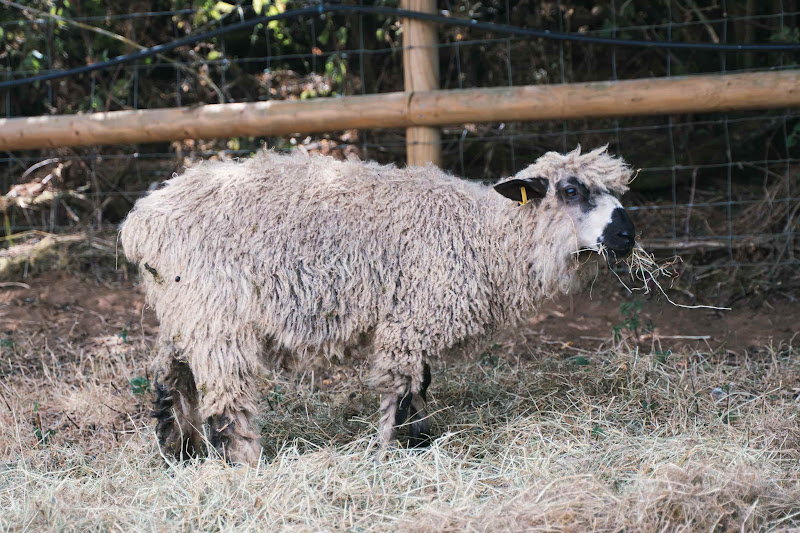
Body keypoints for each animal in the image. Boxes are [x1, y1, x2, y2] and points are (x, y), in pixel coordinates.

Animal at [120, 145, 635, 465]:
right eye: (571, 190)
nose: (627, 236)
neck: (483, 234)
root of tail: (140, 222)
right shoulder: (412, 316)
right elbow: (404, 391)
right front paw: (395, 451)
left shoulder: (414, 316)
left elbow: (421, 383)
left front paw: (419, 444)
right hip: (216, 311)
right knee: (224, 398)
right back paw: (243, 465)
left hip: (184, 308)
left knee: (169, 376)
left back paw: (177, 454)